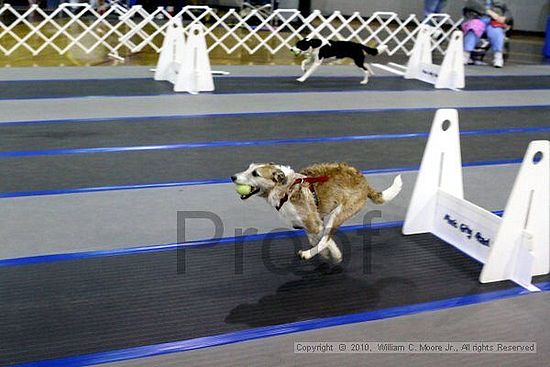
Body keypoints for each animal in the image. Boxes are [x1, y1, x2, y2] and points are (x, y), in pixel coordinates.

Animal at [231, 162, 404, 264]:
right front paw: (328, 253)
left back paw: (308, 254)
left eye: (255, 173)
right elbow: (314, 238)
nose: (232, 177)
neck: (285, 188)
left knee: (326, 238)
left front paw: (332, 254)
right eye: (248, 168)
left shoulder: (315, 224)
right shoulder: (308, 224)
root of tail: (365, 183)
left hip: (339, 214)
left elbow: (323, 240)